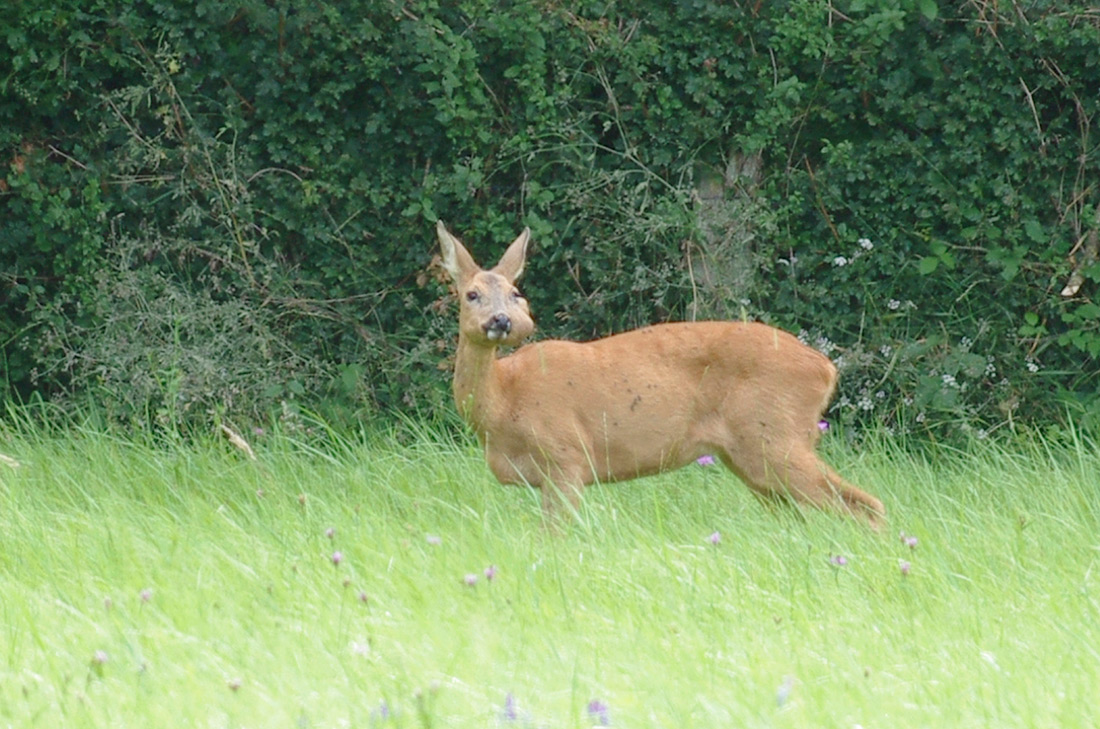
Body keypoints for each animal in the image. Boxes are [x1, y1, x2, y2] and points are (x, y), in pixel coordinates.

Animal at [435, 221, 886, 529]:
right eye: (472, 294)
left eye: (515, 293)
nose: (503, 321)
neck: (503, 404)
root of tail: (825, 368)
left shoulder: (567, 457)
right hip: (752, 457)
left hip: (776, 435)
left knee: (867, 506)